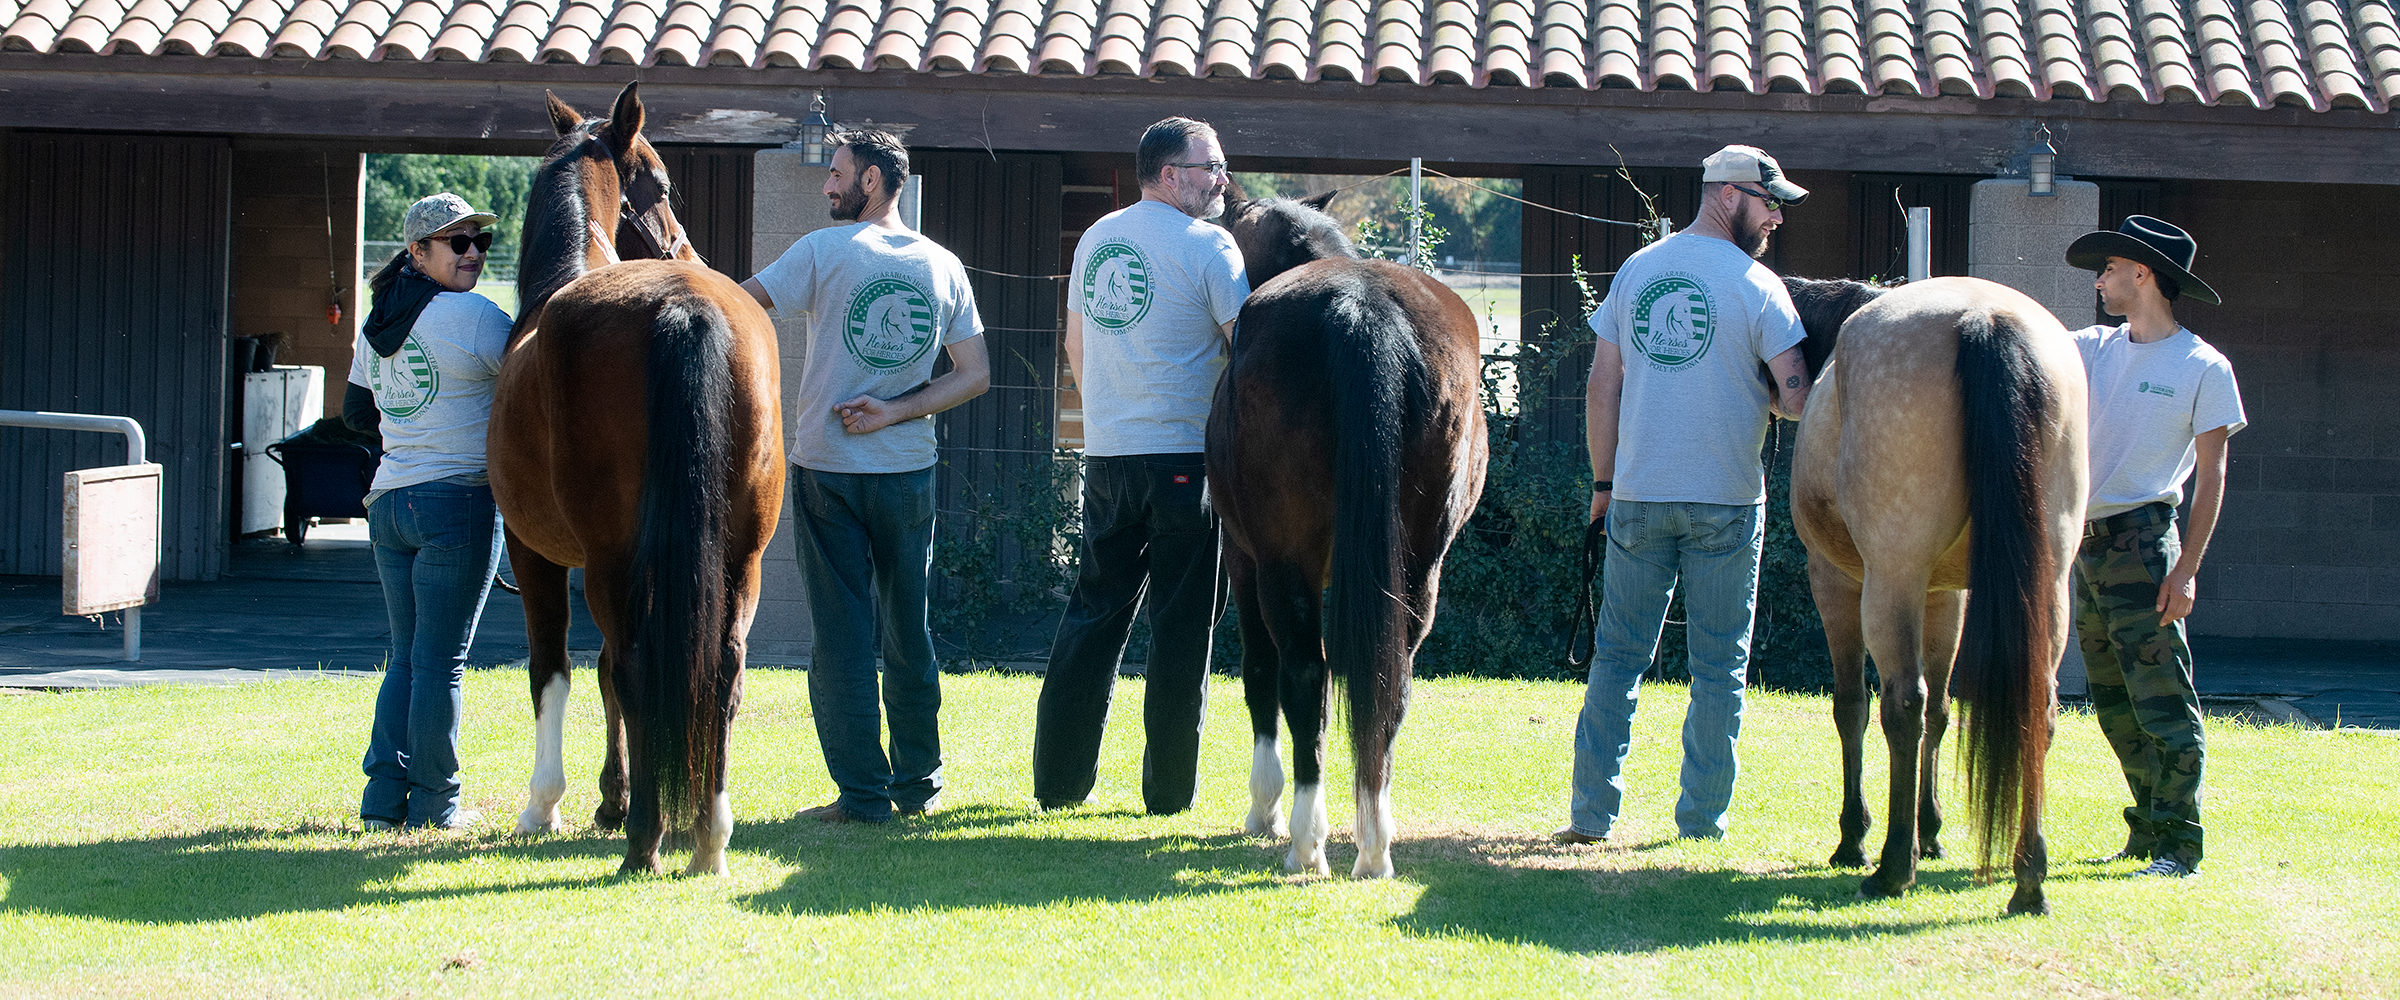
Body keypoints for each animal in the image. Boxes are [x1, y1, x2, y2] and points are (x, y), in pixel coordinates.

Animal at [488, 83, 785, 876]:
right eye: (662, 181)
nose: (687, 244)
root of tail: (683, 303)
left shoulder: (537, 553)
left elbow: (555, 669)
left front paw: (549, 804)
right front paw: (611, 797)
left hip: (610, 560)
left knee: (632, 666)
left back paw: (647, 839)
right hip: (740, 557)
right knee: (722, 669)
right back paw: (707, 835)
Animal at [1210, 195, 1489, 878]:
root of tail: (1362, 309)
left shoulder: (1246, 560)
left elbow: (1260, 672)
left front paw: (1264, 808)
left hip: (1283, 566)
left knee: (1304, 675)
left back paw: (1306, 841)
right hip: (1419, 566)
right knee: (1394, 682)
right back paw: (1373, 842)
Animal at [1783, 275, 2087, 915]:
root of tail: (1985, 318)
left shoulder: (1836, 583)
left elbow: (1852, 707)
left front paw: (1856, 836)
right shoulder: (1946, 597)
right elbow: (1944, 712)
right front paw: (1933, 830)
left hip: (1889, 580)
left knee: (1901, 703)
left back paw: (1892, 866)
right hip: (2047, 584)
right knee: (2035, 707)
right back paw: (2028, 878)